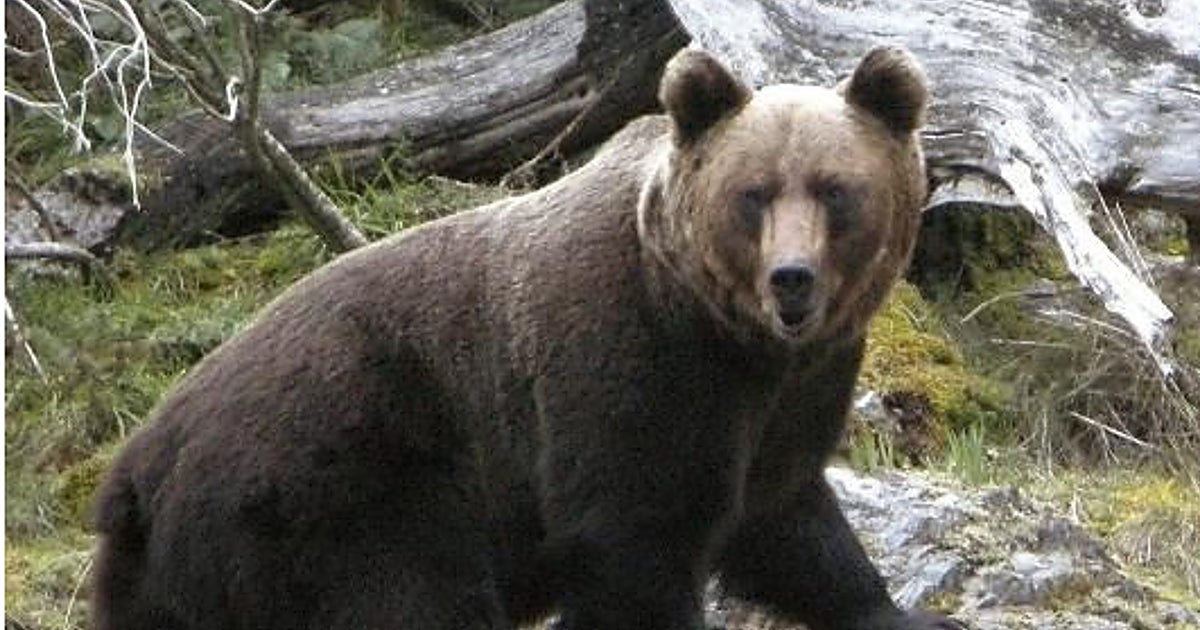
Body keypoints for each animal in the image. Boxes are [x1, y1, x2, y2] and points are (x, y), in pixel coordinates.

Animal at [91, 46, 962, 630]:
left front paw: (892, 607)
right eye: (753, 193)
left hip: (163, 582)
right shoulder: (629, 370)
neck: (728, 336)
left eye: (835, 189)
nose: (791, 279)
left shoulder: (789, 399)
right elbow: (633, 543)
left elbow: (787, 519)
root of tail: (138, 464)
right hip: (342, 487)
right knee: (413, 598)